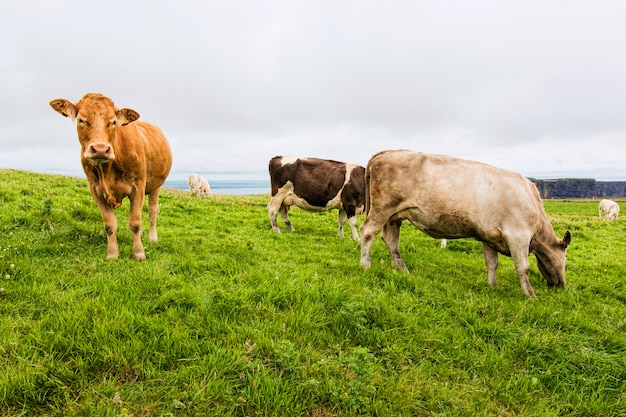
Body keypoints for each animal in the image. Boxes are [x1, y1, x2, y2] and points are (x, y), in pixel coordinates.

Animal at [49, 93, 171, 260]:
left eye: (113, 122)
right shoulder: (95, 189)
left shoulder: (138, 186)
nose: (100, 149)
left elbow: (135, 222)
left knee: (153, 210)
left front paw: (139, 253)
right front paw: (112, 253)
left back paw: (152, 238)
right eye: (81, 120)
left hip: (156, 185)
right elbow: (109, 224)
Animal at [356, 151, 572, 298]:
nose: (561, 284)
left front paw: (493, 286)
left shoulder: (489, 236)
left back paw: (403, 270)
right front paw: (530, 295)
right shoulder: (518, 235)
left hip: (394, 216)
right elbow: (523, 267)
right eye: (566, 258)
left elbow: (491, 263)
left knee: (391, 241)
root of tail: (387, 152)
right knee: (368, 232)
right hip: (382, 208)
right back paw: (365, 265)